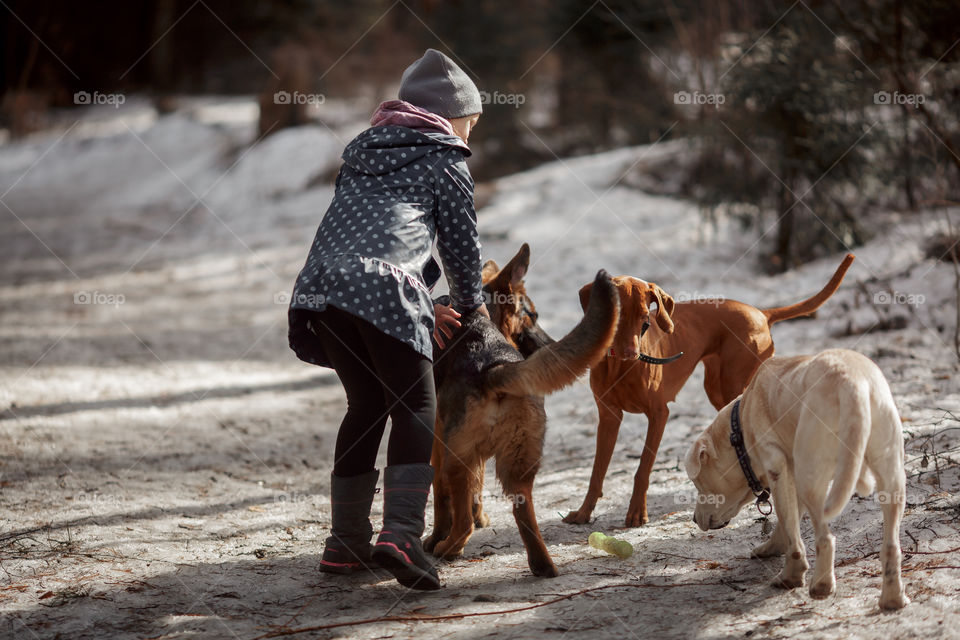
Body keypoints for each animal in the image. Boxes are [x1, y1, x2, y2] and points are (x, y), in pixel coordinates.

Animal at [424, 244, 620, 576]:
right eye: (532, 316)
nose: (549, 343)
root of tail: (494, 367)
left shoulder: (439, 447)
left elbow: (441, 498)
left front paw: (436, 536)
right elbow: (476, 491)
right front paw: (479, 517)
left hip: (454, 458)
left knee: (463, 522)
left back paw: (448, 548)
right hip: (517, 465)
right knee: (522, 511)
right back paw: (542, 566)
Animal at [564, 252, 856, 528]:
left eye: (645, 319)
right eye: (619, 315)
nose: (632, 354)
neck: (619, 367)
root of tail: (761, 313)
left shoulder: (659, 414)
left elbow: (643, 468)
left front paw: (637, 512)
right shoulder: (608, 417)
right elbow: (597, 471)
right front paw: (584, 512)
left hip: (736, 383)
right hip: (716, 389)